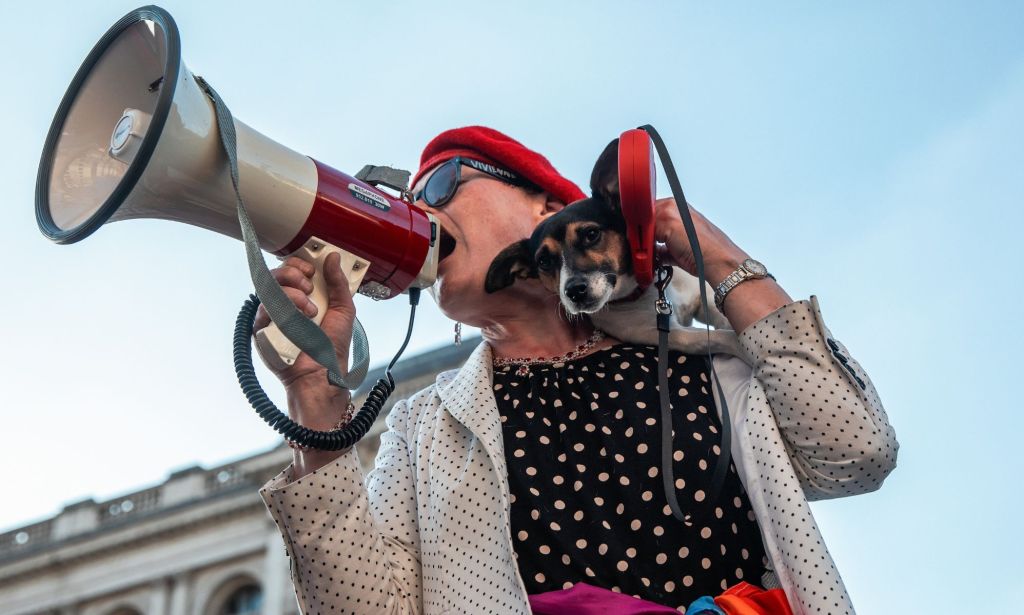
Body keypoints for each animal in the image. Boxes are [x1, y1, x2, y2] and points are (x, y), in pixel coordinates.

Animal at [481, 139, 729, 333]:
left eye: (591, 234)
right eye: (543, 261)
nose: (574, 291)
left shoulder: (702, 297)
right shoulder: (672, 334)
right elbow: (724, 341)